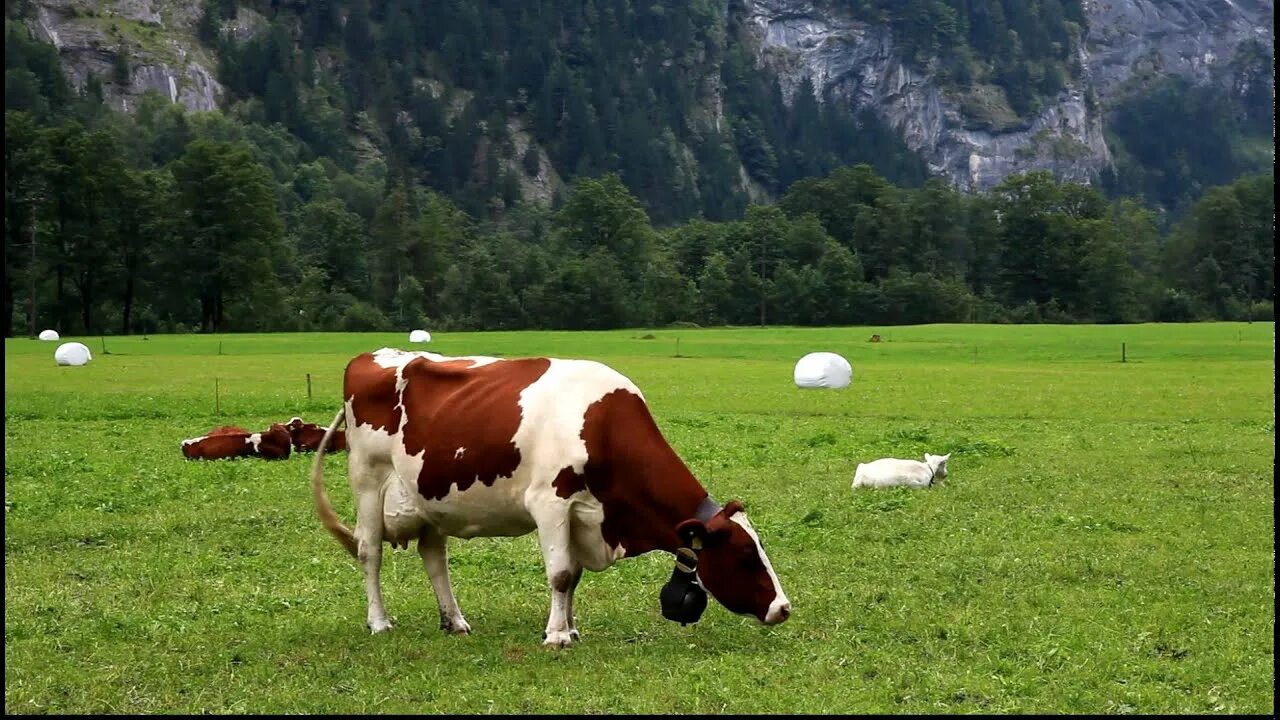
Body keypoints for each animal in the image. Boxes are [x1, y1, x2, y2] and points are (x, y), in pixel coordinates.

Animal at [309, 348, 788, 645]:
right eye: (745, 556)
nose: (783, 608)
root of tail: (375, 356)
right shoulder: (551, 503)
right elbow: (559, 574)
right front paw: (556, 636)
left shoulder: (581, 514)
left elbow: (572, 576)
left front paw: (569, 629)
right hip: (368, 482)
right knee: (369, 552)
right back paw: (379, 622)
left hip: (430, 496)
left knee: (434, 557)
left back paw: (455, 621)